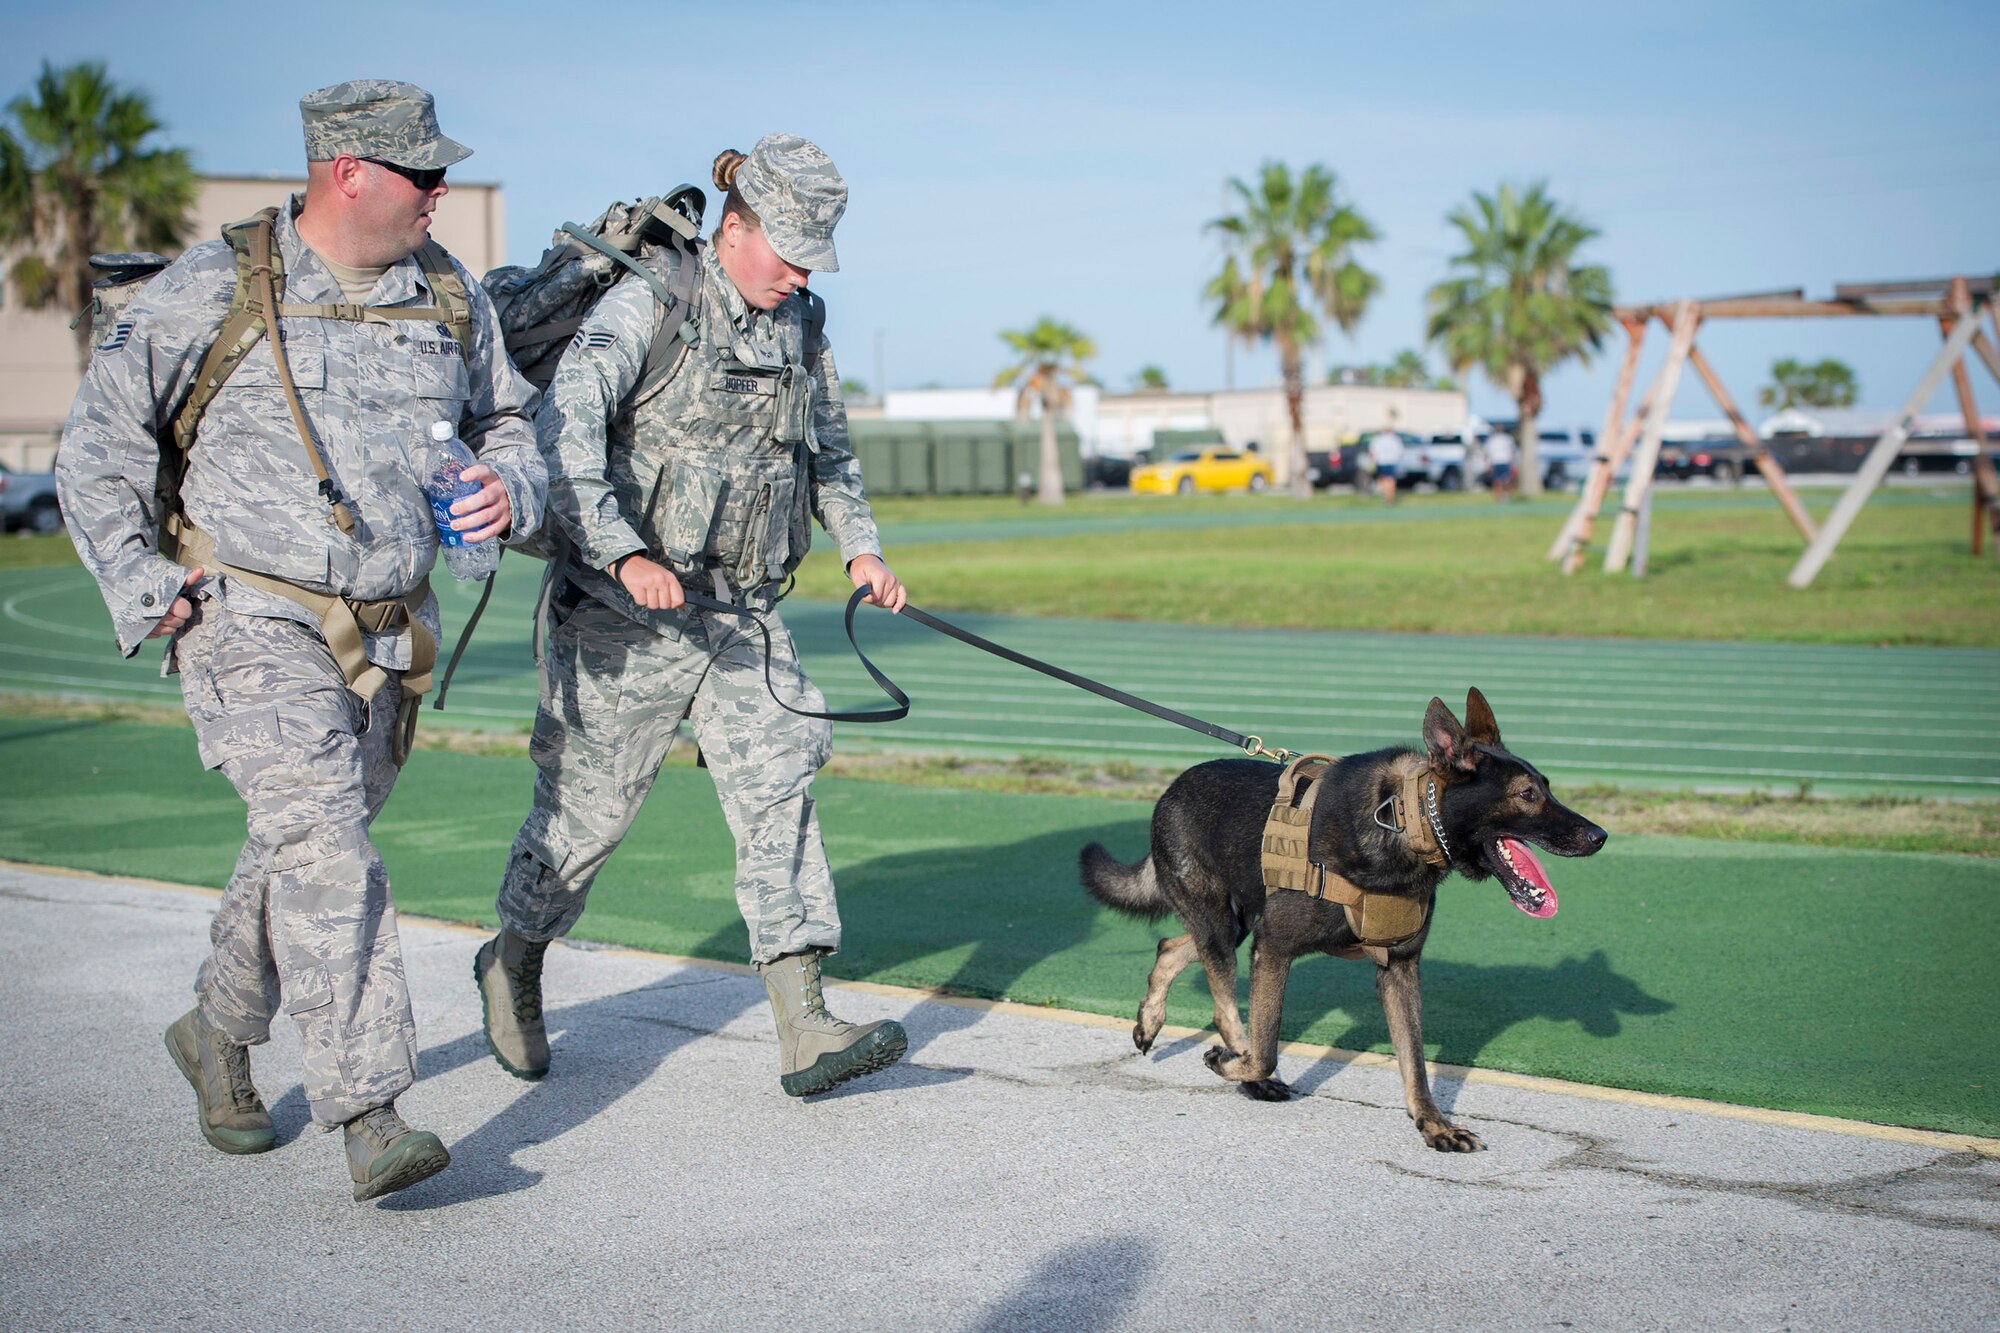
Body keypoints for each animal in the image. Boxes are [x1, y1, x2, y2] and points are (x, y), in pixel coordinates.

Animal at [1080, 688, 1608, 1144]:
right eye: (1527, 794)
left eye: (1547, 789)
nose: (1600, 836)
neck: (1402, 822)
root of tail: (1170, 789)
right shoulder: (1274, 948)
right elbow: (1266, 1047)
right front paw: (1235, 1065)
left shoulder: (1399, 971)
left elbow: (1415, 1063)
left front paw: (1434, 1126)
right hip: (1220, 925)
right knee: (1224, 1004)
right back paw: (1234, 1065)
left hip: (1232, 926)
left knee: (1170, 947)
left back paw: (1152, 1022)